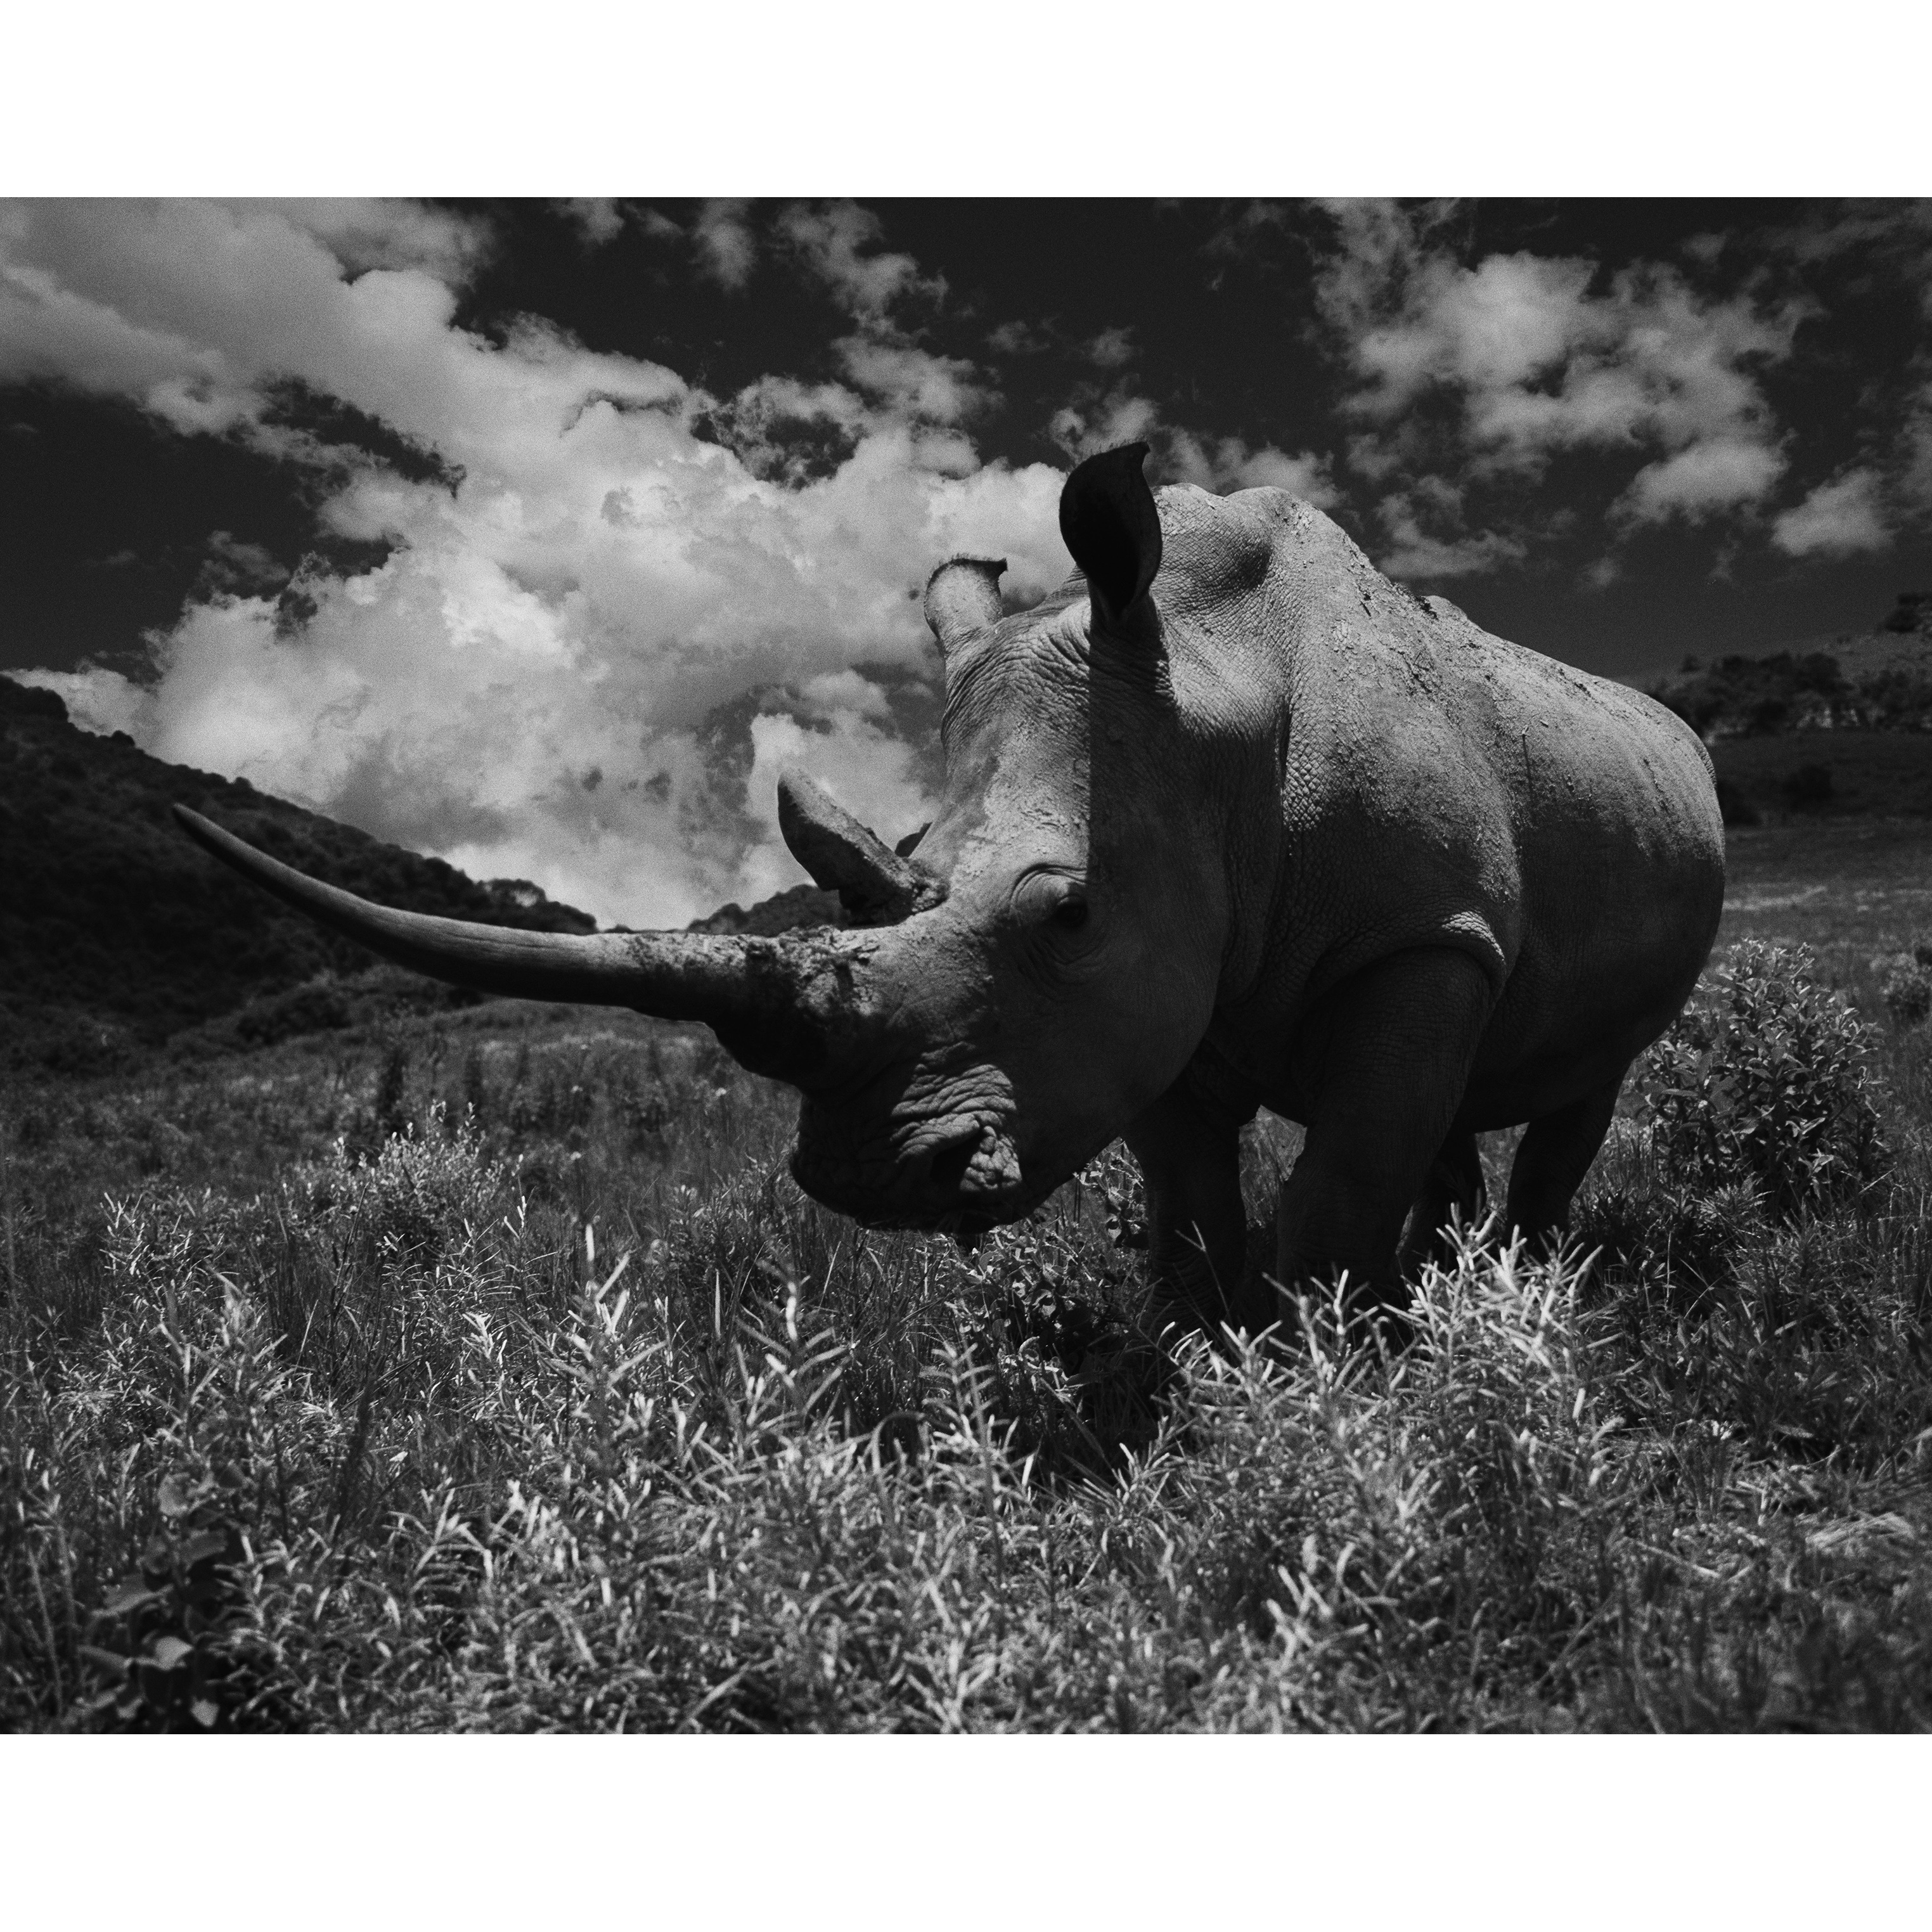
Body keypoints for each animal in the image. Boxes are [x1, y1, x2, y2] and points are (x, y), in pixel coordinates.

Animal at [174, 443, 1725, 1332]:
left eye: (1068, 910)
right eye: (893, 881)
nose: (868, 1180)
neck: (1213, 692)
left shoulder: (1408, 936)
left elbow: (1334, 1191)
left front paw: (1314, 1372)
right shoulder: (1157, 986)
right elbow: (1188, 1201)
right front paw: (1204, 1354)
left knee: (1576, 1086)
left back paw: (1511, 1290)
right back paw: (1451, 1282)